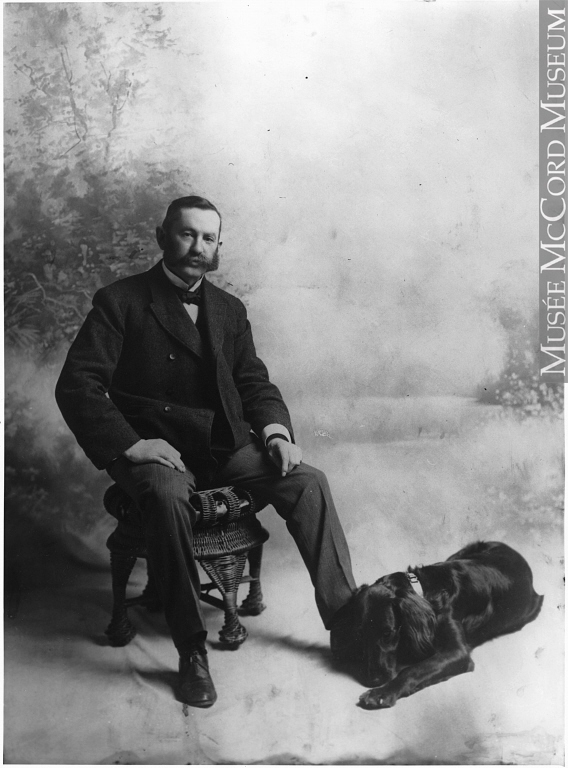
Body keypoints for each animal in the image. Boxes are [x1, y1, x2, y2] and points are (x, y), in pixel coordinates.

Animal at [330, 540, 544, 708]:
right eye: (360, 635)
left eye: (388, 633)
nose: (373, 680)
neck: (424, 591)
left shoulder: (457, 651)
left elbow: (413, 669)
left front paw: (382, 693)